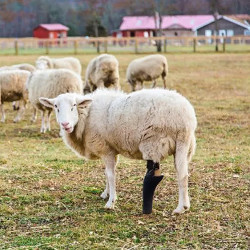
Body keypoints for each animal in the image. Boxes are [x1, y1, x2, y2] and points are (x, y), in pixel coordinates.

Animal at [40, 88, 197, 215]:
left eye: (73, 106)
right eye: (56, 106)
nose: (65, 124)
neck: (86, 115)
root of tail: (187, 117)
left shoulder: (105, 150)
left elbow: (110, 175)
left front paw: (111, 202)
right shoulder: (110, 149)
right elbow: (106, 173)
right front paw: (106, 193)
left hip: (156, 142)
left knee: (178, 175)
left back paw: (179, 208)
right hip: (184, 145)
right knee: (183, 174)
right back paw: (185, 206)